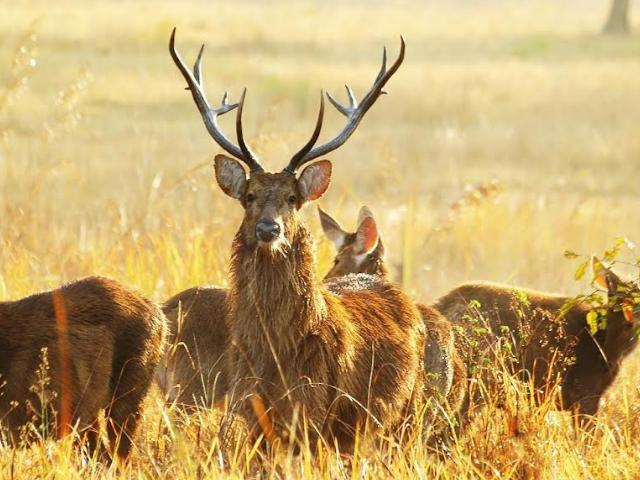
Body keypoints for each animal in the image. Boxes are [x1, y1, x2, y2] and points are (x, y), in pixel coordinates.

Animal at [170, 29, 430, 450]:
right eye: (249, 196)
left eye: (292, 198)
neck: (278, 354)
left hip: (408, 409)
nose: (268, 229)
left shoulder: (318, 409)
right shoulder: (249, 404)